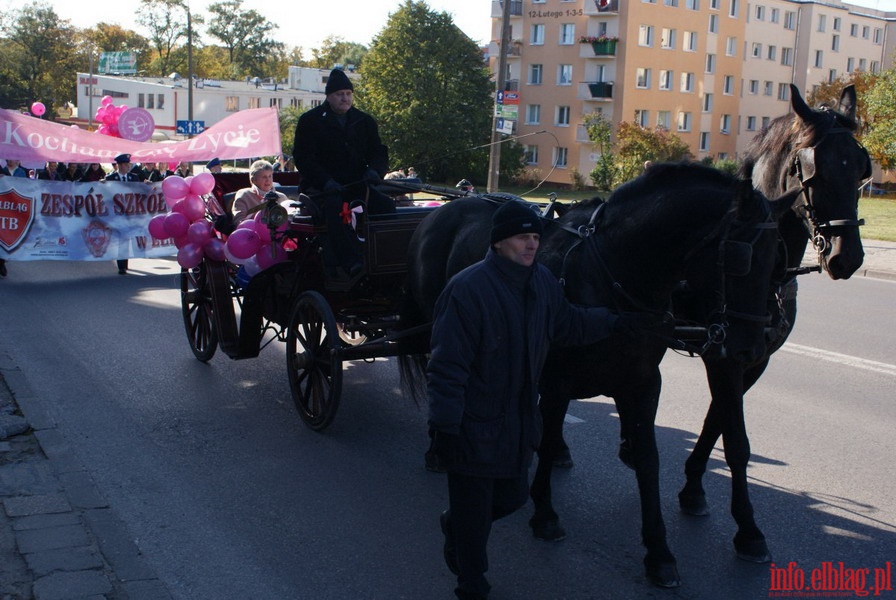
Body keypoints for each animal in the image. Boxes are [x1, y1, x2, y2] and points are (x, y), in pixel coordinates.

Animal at [402, 163, 788, 584]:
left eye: (777, 258)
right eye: (739, 256)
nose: (751, 347)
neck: (611, 273)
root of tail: (439, 211)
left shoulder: (643, 383)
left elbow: (649, 458)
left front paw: (659, 550)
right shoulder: (557, 382)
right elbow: (548, 439)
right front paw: (545, 515)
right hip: (439, 327)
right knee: (443, 380)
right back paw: (439, 448)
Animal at [676, 84, 872, 564]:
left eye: (860, 169)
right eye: (813, 171)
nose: (847, 257)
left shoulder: (754, 360)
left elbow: (716, 422)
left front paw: (692, 488)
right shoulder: (722, 358)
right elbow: (737, 440)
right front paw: (747, 528)